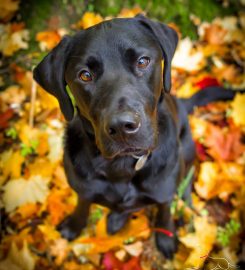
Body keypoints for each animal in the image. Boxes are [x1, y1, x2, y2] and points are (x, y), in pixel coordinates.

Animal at [33, 14, 236, 258]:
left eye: (142, 61)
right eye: (85, 75)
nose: (122, 126)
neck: (121, 166)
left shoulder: (163, 192)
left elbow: (164, 213)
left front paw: (166, 237)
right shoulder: (83, 189)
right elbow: (82, 205)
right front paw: (74, 226)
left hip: (187, 148)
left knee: (187, 176)